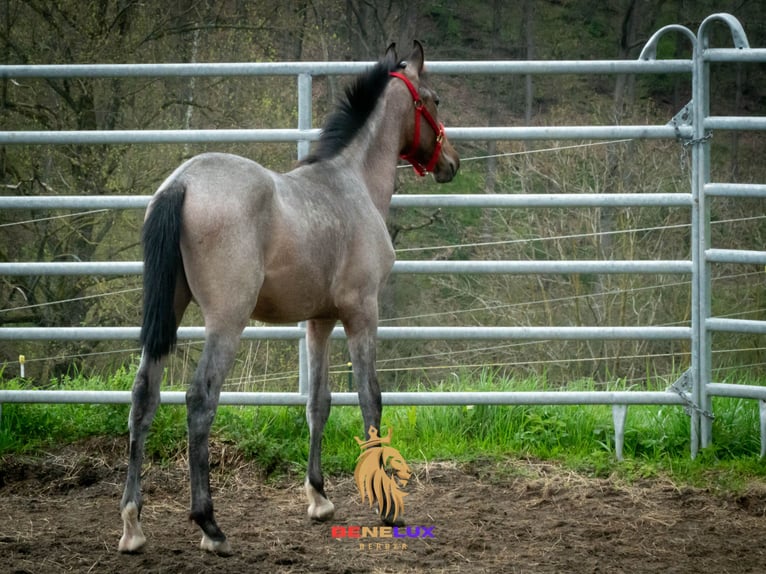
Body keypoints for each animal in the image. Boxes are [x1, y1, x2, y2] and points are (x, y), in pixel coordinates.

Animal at [118, 40, 459, 556]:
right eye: (434, 99)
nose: (451, 163)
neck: (351, 183)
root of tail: (182, 183)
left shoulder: (319, 321)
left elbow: (319, 402)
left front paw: (318, 498)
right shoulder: (362, 314)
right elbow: (370, 398)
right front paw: (386, 506)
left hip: (169, 314)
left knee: (144, 396)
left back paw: (133, 524)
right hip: (227, 320)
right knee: (200, 399)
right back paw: (210, 527)